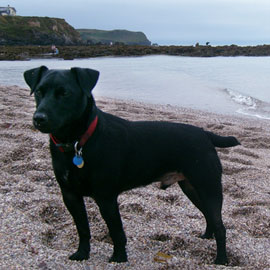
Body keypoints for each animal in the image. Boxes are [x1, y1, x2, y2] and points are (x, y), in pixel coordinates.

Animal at [24, 66, 239, 264]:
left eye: (65, 93)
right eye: (39, 91)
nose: (39, 118)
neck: (77, 142)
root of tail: (205, 134)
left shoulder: (106, 198)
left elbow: (116, 231)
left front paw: (119, 257)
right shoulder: (70, 195)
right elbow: (83, 228)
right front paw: (82, 254)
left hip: (208, 186)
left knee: (220, 226)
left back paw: (221, 260)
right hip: (191, 187)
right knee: (209, 216)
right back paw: (207, 237)